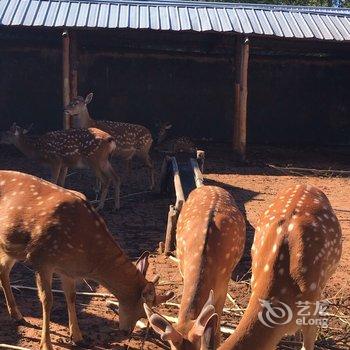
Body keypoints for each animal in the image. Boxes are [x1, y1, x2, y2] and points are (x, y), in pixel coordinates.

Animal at [0, 171, 173, 350]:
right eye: (141, 311)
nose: (127, 332)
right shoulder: (40, 258)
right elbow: (47, 300)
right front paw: (46, 344)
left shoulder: (66, 270)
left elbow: (71, 296)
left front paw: (77, 337)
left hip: (10, 247)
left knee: (3, 270)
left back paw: (17, 315)